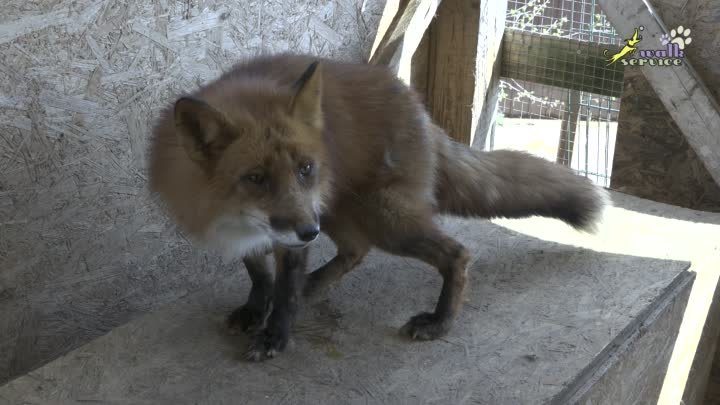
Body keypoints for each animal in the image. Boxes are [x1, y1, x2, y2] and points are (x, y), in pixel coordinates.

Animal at [149, 52, 612, 360]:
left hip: (378, 217)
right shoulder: (264, 231)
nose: (308, 233)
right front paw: (253, 309)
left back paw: (439, 322)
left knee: (457, 254)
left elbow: (284, 291)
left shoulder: (295, 231)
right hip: (338, 211)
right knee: (355, 251)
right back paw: (317, 284)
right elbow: (260, 275)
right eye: (256, 178)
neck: (235, 217)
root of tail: (417, 104)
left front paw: (275, 335)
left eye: (305, 168)